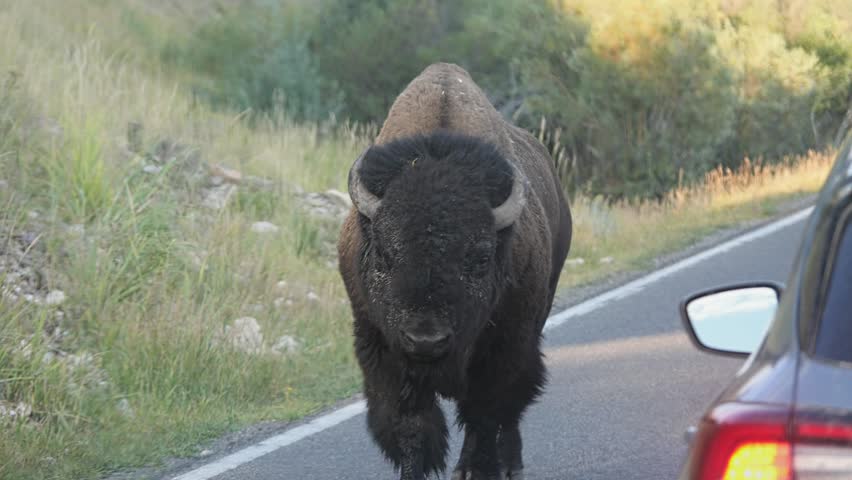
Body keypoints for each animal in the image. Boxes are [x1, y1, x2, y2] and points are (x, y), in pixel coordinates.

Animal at [338, 63, 572, 480]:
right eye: (383, 254)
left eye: (479, 259)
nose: (425, 339)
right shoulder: (382, 349)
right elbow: (411, 426)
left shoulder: (502, 348)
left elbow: (485, 414)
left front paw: (481, 468)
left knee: (509, 410)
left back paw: (508, 465)